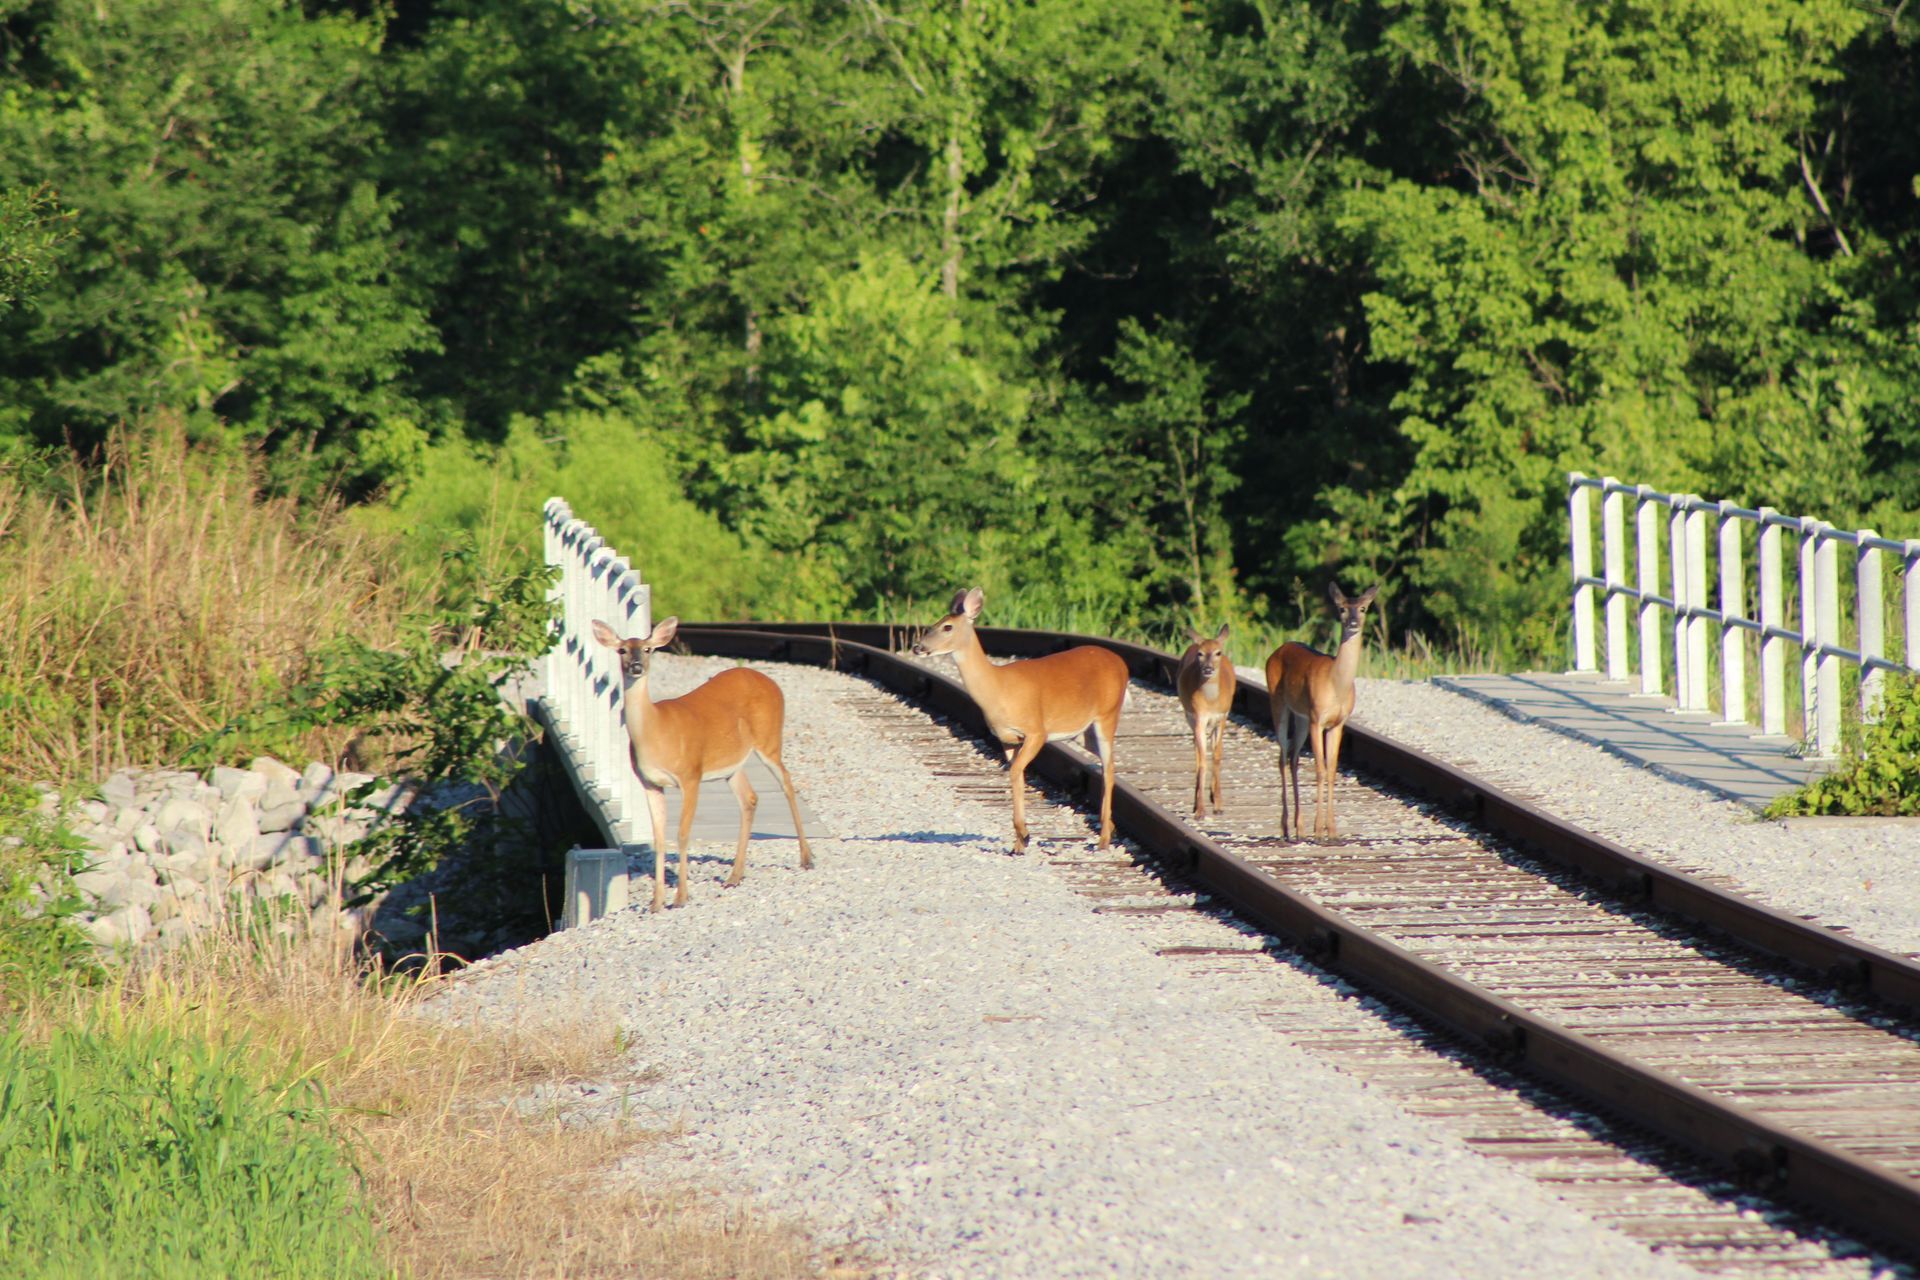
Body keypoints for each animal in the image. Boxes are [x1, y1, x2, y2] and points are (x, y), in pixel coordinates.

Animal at [591, 616, 812, 912]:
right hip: (732, 764)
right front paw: (656, 903)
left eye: (648, 649)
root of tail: (771, 682)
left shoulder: (690, 774)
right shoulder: (649, 782)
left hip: (769, 739)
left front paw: (681, 898)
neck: (656, 731)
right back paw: (734, 876)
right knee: (749, 798)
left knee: (787, 783)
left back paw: (806, 859)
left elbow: (683, 834)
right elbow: (659, 839)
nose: (636, 667)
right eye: (622, 650)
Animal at [910, 587, 1130, 854]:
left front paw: (1024, 834)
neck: (999, 690)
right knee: (1106, 764)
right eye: (932, 624)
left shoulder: (1036, 730)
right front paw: (1019, 843)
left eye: (947, 627)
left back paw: (1104, 840)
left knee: (1109, 767)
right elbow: (1018, 775)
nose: (917, 647)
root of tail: (1122, 664)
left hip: (1108, 713)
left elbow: (1016, 771)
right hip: (1082, 731)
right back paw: (1110, 828)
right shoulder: (1006, 738)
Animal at [1176, 623, 1235, 818]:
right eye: (1200, 654)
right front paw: (1200, 810)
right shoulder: (1199, 717)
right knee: (1196, 752)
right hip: (1189, 716)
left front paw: (1218, 805)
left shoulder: (1222, 717)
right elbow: (1202, 761)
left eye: (1218, 652)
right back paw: (1197, 804)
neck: (1211, 702)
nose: (1208, 669)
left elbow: (1216, 757)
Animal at [1264, 583, 1380, 841]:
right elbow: (1320, 770)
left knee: (1293, 757)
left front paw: (1333, 830)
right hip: (1278, 702)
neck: (1336, 685)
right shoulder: (1317, 720)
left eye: (1364, 608)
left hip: (1301, 717)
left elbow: (1332, 770)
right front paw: (1318, 831)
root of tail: (1278, 649)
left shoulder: (1337, 724)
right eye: (1342, 608)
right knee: (1282, 756)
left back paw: (1299, 826)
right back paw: (1286, 827)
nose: (1353, 622)